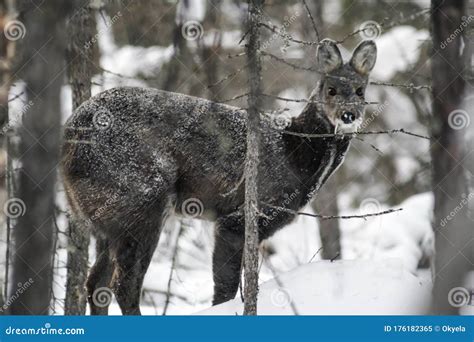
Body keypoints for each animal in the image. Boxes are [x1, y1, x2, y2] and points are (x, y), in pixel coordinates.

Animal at [60, 38, 378, 314]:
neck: (295, 154)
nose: (348, 115)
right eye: (331, 89)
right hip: (140, 197)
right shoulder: (240, 217)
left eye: (360, 91)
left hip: (106, 216)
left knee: (96, 284)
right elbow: (224, 290)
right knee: (123, 285)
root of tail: (69, 137)